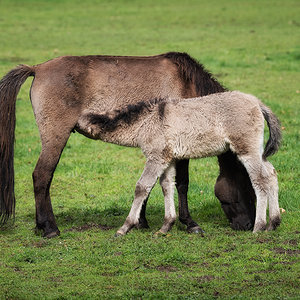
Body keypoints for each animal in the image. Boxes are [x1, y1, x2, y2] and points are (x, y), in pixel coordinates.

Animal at [0, 53, 255, 237]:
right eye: (246, 185)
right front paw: (190, 223)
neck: (188, 85)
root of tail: (38, 68)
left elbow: (151, 185)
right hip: (56, 136)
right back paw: (50, 228)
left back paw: (40, 226)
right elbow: (182, 183)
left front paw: (141, 222)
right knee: (42, 176)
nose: (248, 224)